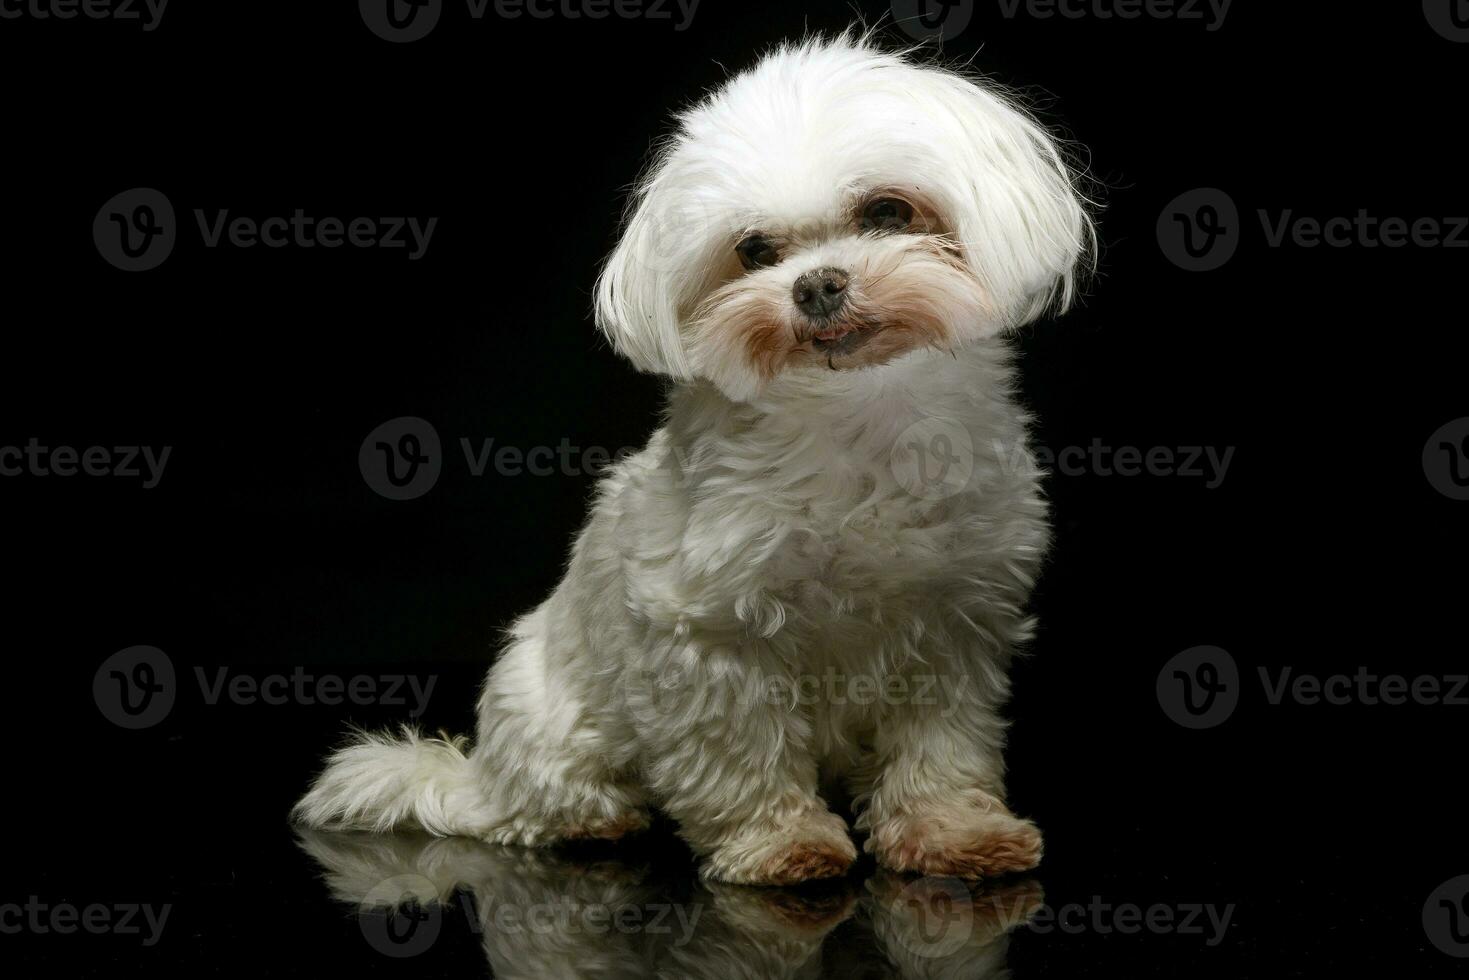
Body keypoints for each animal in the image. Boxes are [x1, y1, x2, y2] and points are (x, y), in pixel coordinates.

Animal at [295, 32, 1092, 887]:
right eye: (753, 251)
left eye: (886, 211)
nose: (815, 285)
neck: (852, 415)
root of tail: (479, 776)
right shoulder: (710, 636)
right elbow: (739, 754)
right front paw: (781, 844)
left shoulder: (954, 626)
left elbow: (943, 747)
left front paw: (951, 832)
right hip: (542, 712)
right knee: (539, 802)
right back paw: (594, 818)